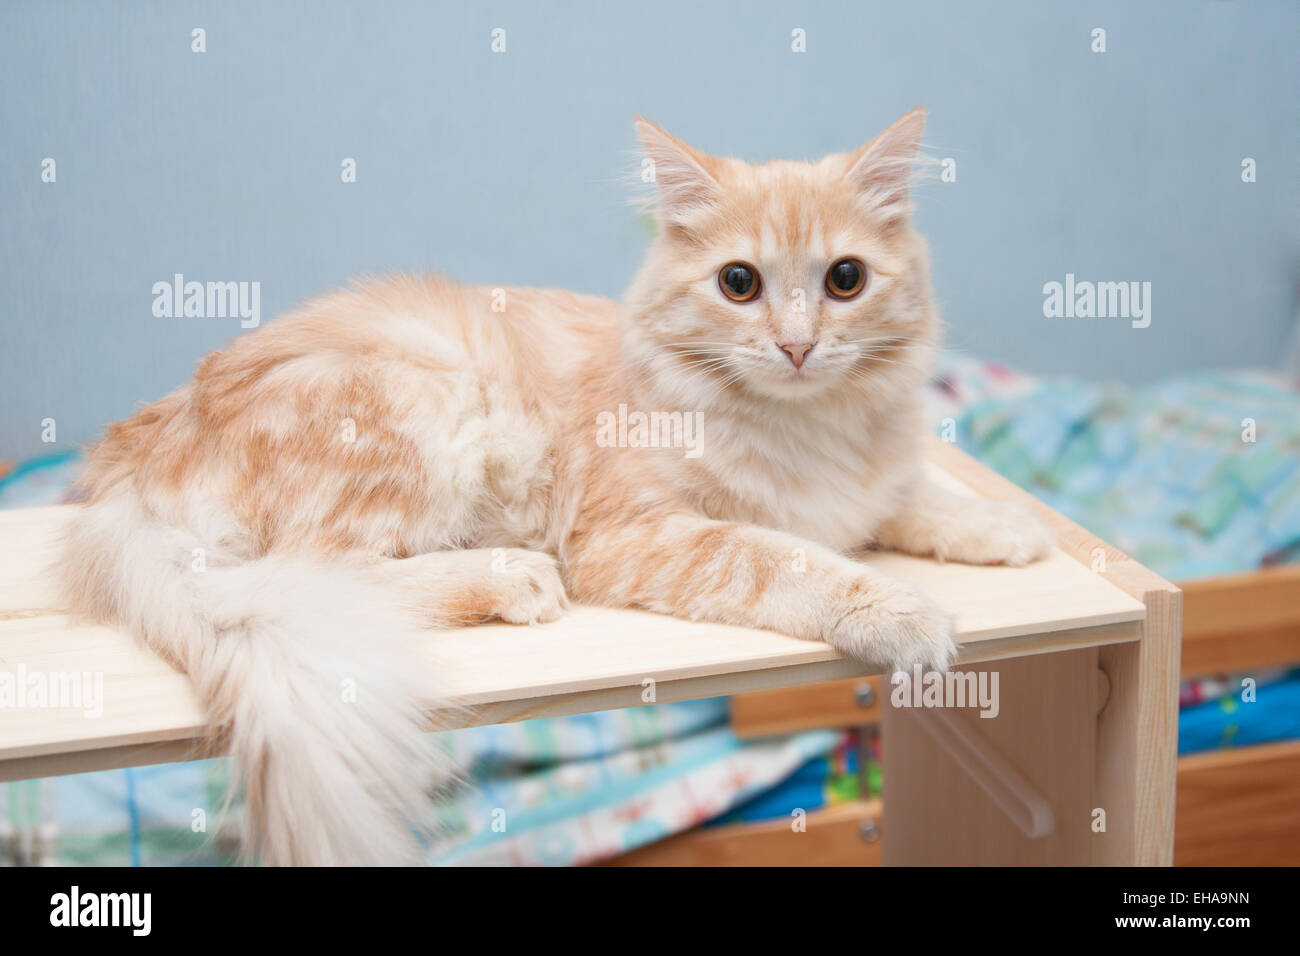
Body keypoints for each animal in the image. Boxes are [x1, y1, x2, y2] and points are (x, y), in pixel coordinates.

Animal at [63, 110, 1055, 868]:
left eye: (845, 280)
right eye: (740, 284)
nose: (798, 347)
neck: (806, 429)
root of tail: (126, 460)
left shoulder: (868, 491)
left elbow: (918, 502)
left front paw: (1007, 525)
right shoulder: (638, 534)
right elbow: (791, 561)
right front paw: (905, 614)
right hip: (423, 414)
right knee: (315, 575)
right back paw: (509, 577)